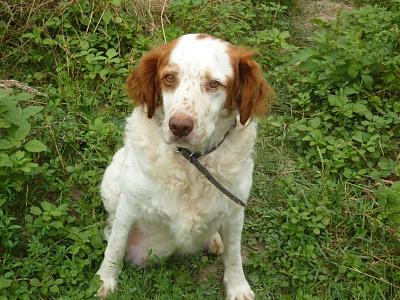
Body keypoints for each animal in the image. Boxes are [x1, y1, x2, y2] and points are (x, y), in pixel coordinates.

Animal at [95, 33, 274, 300]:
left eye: (214, 84)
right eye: (169, 78)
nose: (179, 126)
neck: (191, 161)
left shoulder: (235, 209)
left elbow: (234, 255)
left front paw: (237, 287)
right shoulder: (130, 204)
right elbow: (115, 246)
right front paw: (105, 280)